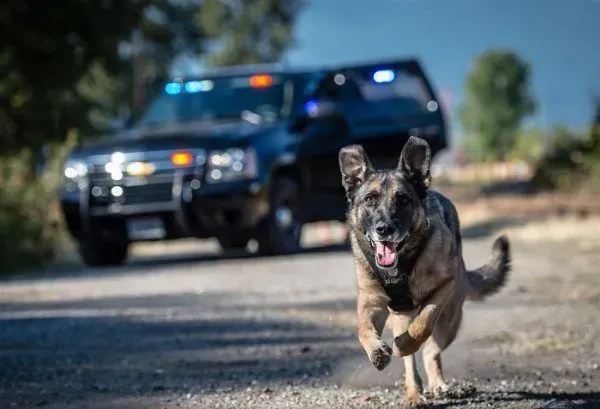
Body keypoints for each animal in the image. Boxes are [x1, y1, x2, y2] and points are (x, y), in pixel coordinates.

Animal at [338, 136, 510, 404]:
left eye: (403, 199)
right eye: (369, 199)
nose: (384, 229)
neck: (401, 266)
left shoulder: (443, 288)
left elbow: (424, 324)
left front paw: (404, 344)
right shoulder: (371, 301)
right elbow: (363, 329)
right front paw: (377, 351)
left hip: (450, 320)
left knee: (431, 351)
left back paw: (435, 381)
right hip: (401, 317)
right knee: (411, 364)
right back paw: (414, 393)